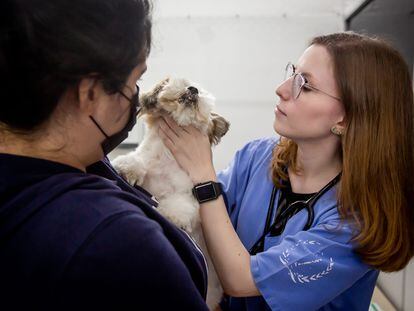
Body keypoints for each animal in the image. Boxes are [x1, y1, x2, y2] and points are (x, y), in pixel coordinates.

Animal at [111, 78, 231, 310]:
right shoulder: (148, 161)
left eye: (201, 91)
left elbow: (179, 205)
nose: (193, 89)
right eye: (185, 81)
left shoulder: (188, 194)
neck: (167, 160)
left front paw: (171, 215)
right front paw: (126, 167)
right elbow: (138, 161)